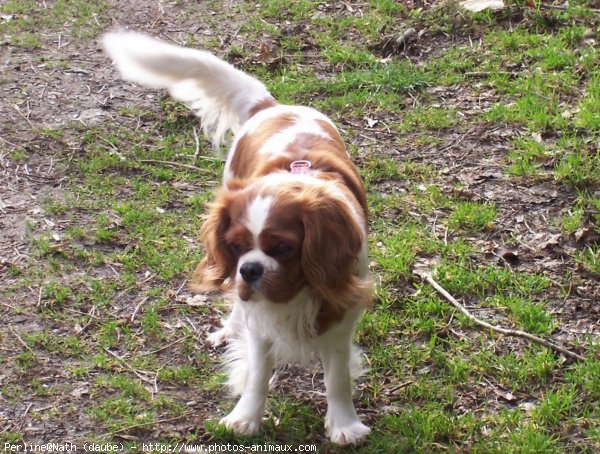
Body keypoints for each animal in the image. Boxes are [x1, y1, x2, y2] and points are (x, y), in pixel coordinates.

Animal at [104, 31, 376, 444]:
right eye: (236, 247)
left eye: (283, 248)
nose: (249, 269)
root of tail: (273, 106)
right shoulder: (258, 320)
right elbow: (258, 375)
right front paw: (245, 418)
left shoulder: (339, 314)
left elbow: (338, 378)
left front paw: (344, 424)